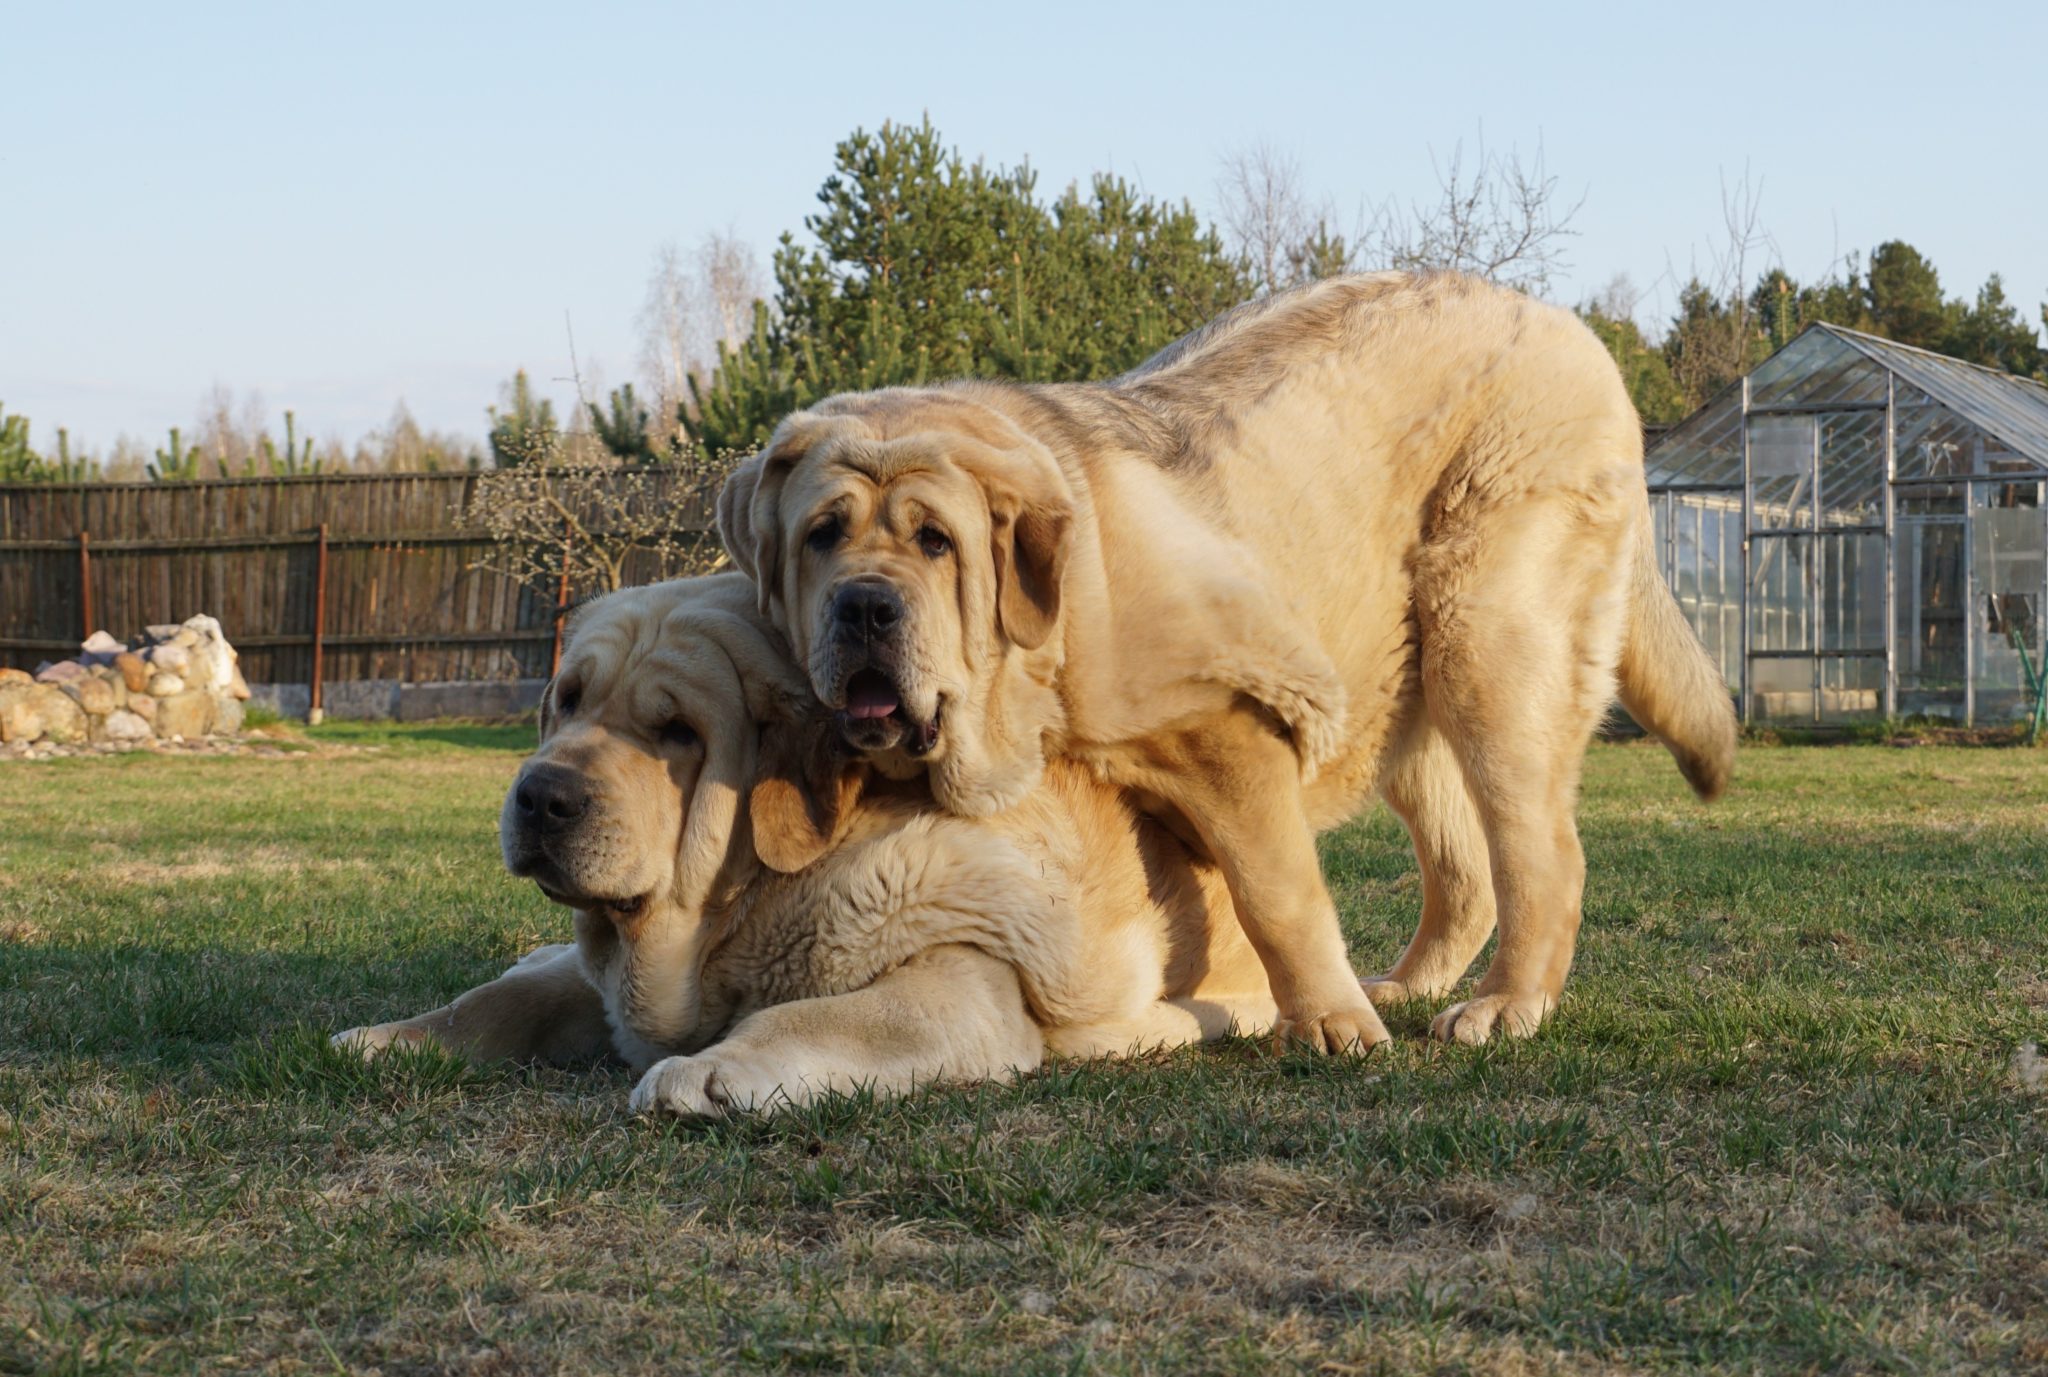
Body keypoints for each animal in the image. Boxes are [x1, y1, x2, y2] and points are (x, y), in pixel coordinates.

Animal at [712, 266, 1736, 1045]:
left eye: (935, 541)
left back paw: (1503, 1005)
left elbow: (1276, 893)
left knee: (1541, 853)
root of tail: (1566, 323)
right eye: (821, 535)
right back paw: (1410, 984)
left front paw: (1329, 1023)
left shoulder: (1226, 727)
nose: (864, 606)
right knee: (1464, 869)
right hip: (1400, 680)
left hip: (1487, 640)